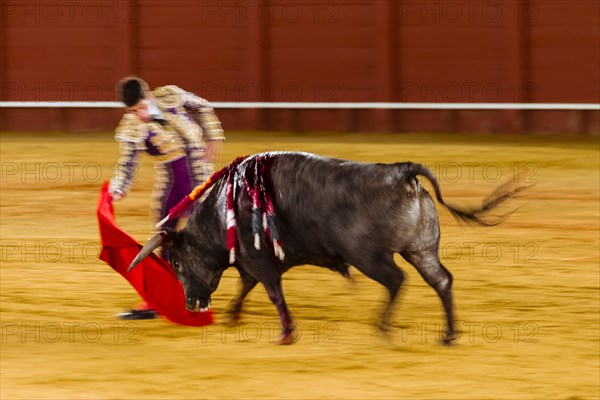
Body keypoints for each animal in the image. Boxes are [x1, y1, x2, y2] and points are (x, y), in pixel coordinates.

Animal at [127, 152, 524, 346]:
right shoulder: (251, 263)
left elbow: (272, 292)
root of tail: (400, 172)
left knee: (396, 280)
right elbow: (246, 286)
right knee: (441, 281)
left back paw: (382, 328)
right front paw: (233, 316)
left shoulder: (260, 260)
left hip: (368, 257)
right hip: (421, 250)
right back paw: (448, 335)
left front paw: (287, 333)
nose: (191, 304)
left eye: (177, 262)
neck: (223, 208)